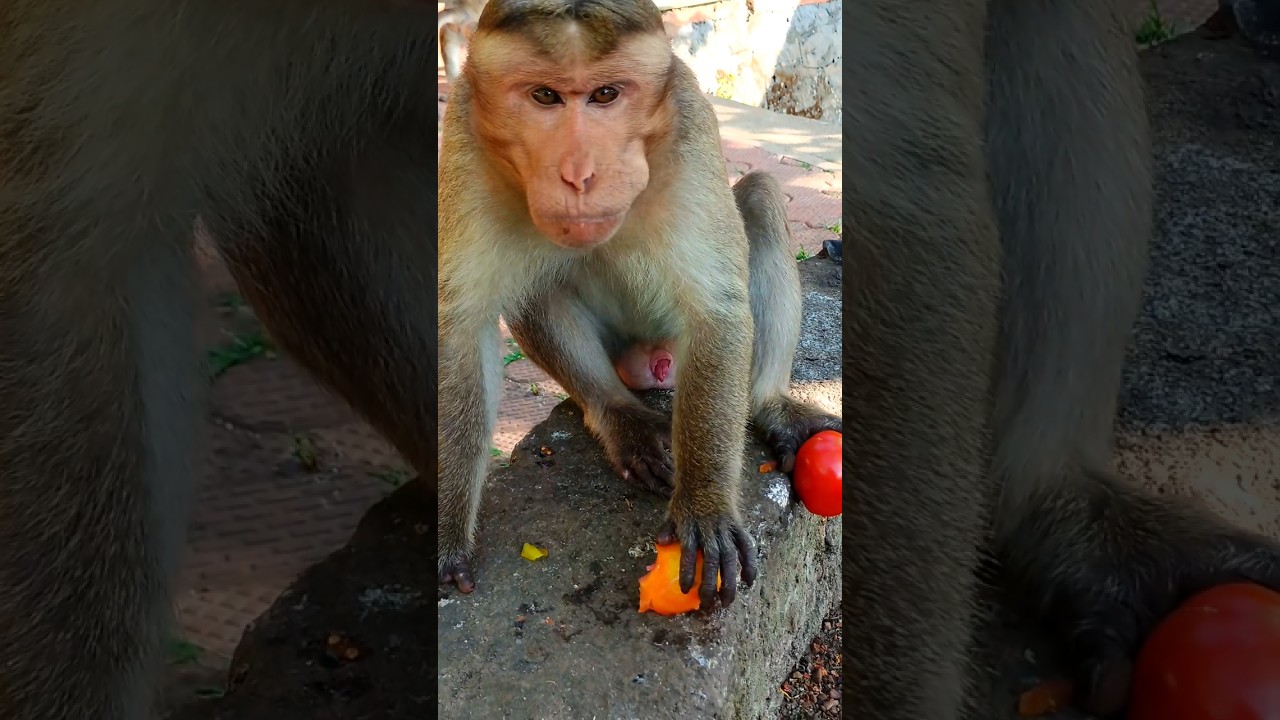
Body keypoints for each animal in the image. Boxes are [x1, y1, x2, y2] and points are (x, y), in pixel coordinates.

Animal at [437, 0, 841, 602]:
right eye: (544, 96)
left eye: (606, 95)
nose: (579, 170)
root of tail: (651, 364)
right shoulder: (464, 138)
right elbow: (462, 328)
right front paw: (446, 537)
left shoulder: (688, 121)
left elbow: (716, 306)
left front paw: (705, 507)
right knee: (536, 282)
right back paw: (620, 416)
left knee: (762, 198)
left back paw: (768, 406)